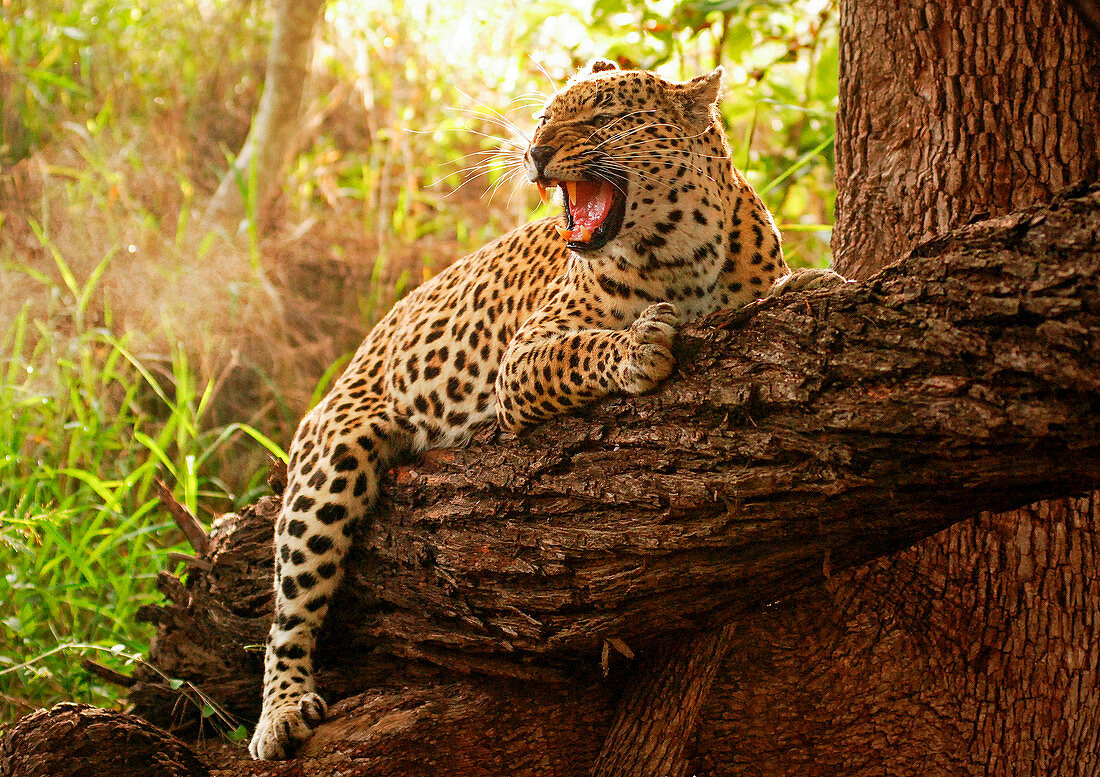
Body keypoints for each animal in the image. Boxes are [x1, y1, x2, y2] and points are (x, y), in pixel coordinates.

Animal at [245, 58, 836, 757]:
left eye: (603, 118)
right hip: (331, 457)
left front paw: (820, 280)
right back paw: (281, 712)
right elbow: (580, 350)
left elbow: (779, 289)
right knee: (289, 606)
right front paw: (638, 347)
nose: (536, 150)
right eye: (545, 118)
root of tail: (362, 349)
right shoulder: (521, 361)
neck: (680, 253)